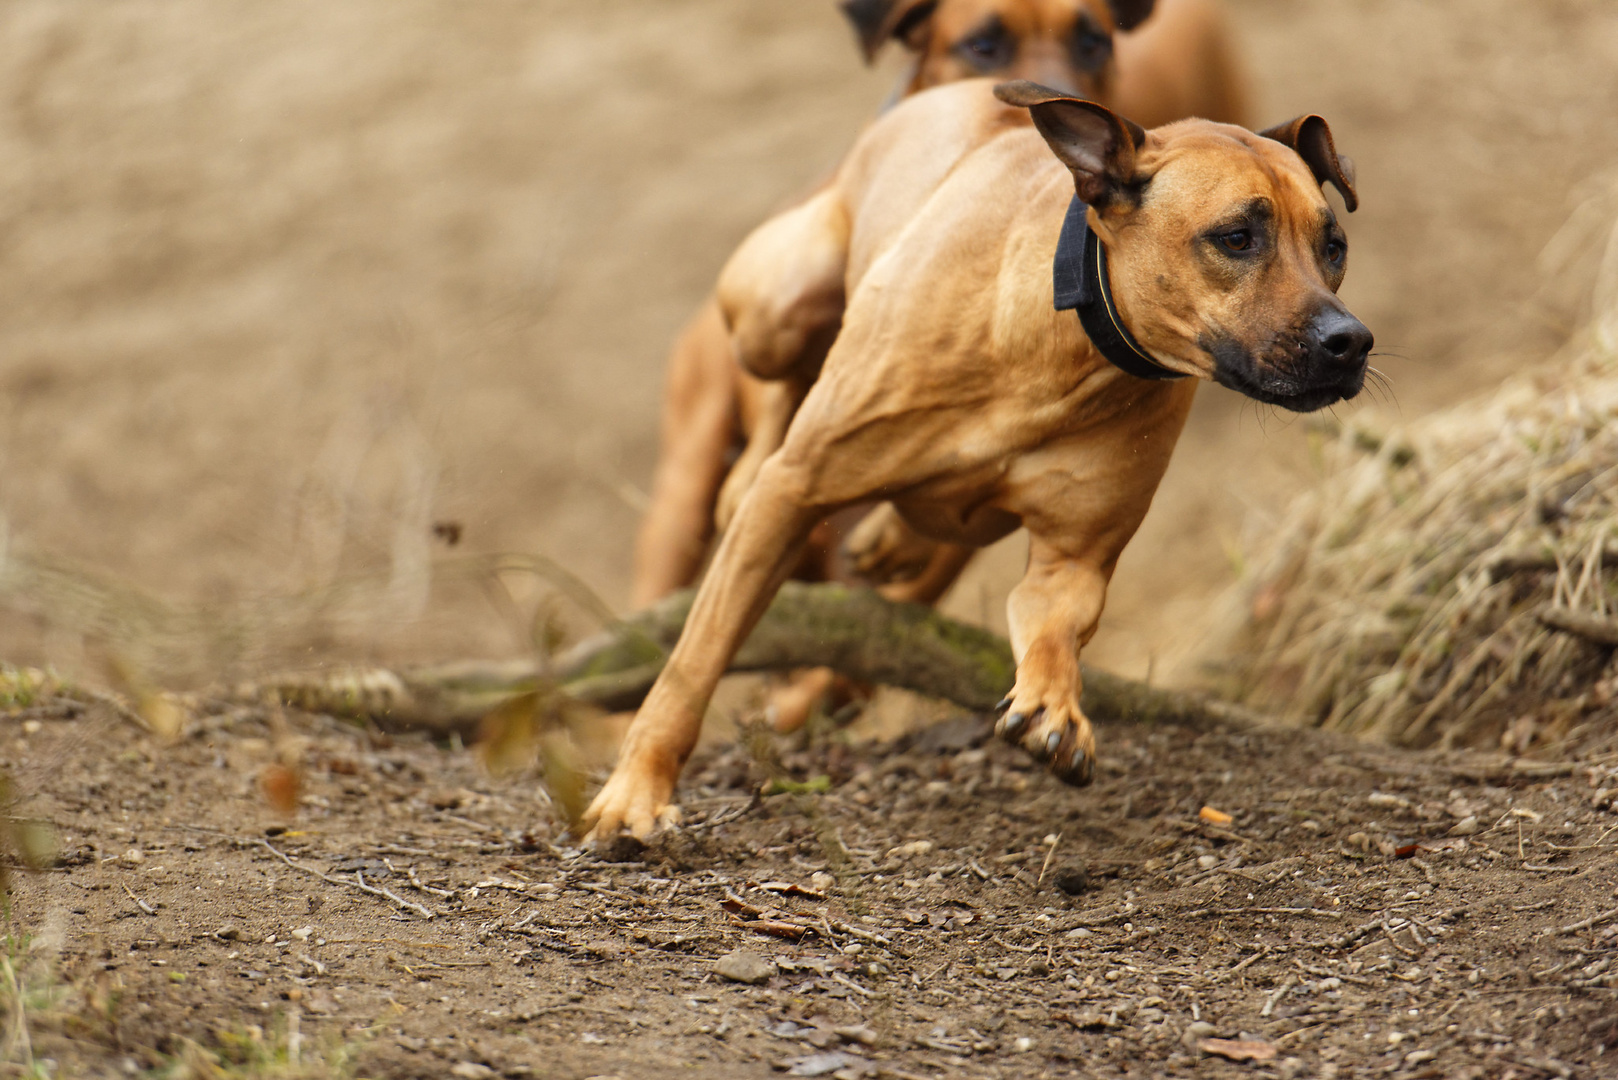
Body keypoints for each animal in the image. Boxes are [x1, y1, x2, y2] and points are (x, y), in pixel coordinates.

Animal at [582, 76, 1365, 841]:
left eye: (1334, 246)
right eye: (1236, 238)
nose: (1351, 342)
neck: (1057, 350)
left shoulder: (1073, 560)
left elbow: (1055, 627)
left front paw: (1053, 709)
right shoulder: (792, 494)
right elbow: (692, 665)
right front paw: (635, 794)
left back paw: (891, 538)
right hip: (778, 306)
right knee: (780, 388)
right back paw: (751, 474)